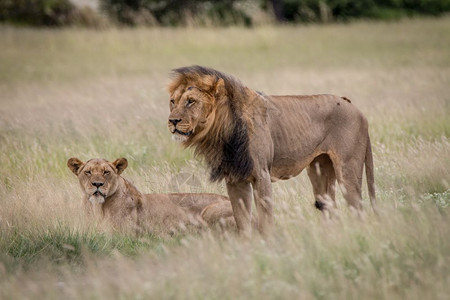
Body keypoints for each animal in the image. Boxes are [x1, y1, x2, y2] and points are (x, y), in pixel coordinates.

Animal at [167, 65, 374, 234]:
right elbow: (242, 219)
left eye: (191, 101)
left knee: (357, 206)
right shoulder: (235, 178)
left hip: (348, 168)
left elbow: (265, 217)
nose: (172, 121)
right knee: (328, 206)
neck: (223, 130)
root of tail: (353, 106)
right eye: (172, 101)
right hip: (320, 168)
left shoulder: (261, 174)